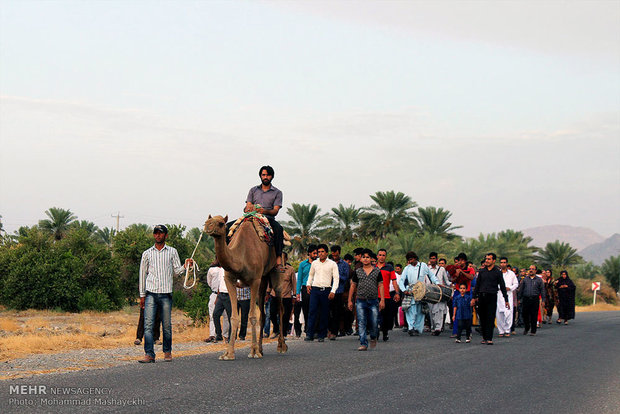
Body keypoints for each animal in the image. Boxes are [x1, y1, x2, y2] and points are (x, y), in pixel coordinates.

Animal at [205, 215, 290, 360]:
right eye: (207, 221)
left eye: (221, 223)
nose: (207, 227)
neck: (241, 256)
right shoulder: (229, 280)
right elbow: (234, 317)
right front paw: (228, 353)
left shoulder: (254, 280)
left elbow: (252, 316)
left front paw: (253, 352)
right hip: (263, 279)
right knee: (263, 312)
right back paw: (261, 348)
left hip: (276, 272)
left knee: (280, 308)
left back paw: (281, 346)